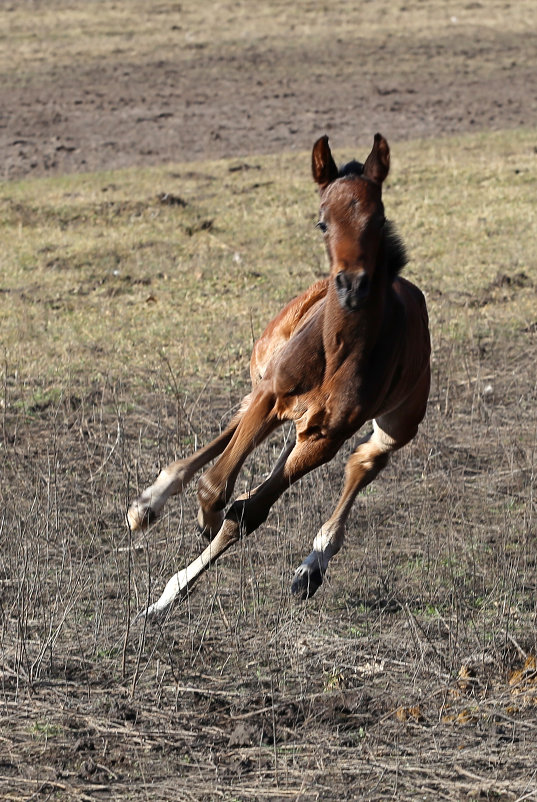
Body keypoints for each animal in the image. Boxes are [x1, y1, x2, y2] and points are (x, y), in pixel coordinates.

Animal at [127, 131, 430, 620]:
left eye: (378, 217)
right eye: (322, 222)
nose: (353, 286)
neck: (338, 350)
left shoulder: (325, 435)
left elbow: (246, 509)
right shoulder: (273, 394)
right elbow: (219, 485)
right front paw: (194, 524)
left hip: (396, 422)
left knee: (366, 461)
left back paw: (311, 567)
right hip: (267, 372)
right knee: (236, 427)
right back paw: (148, 507)